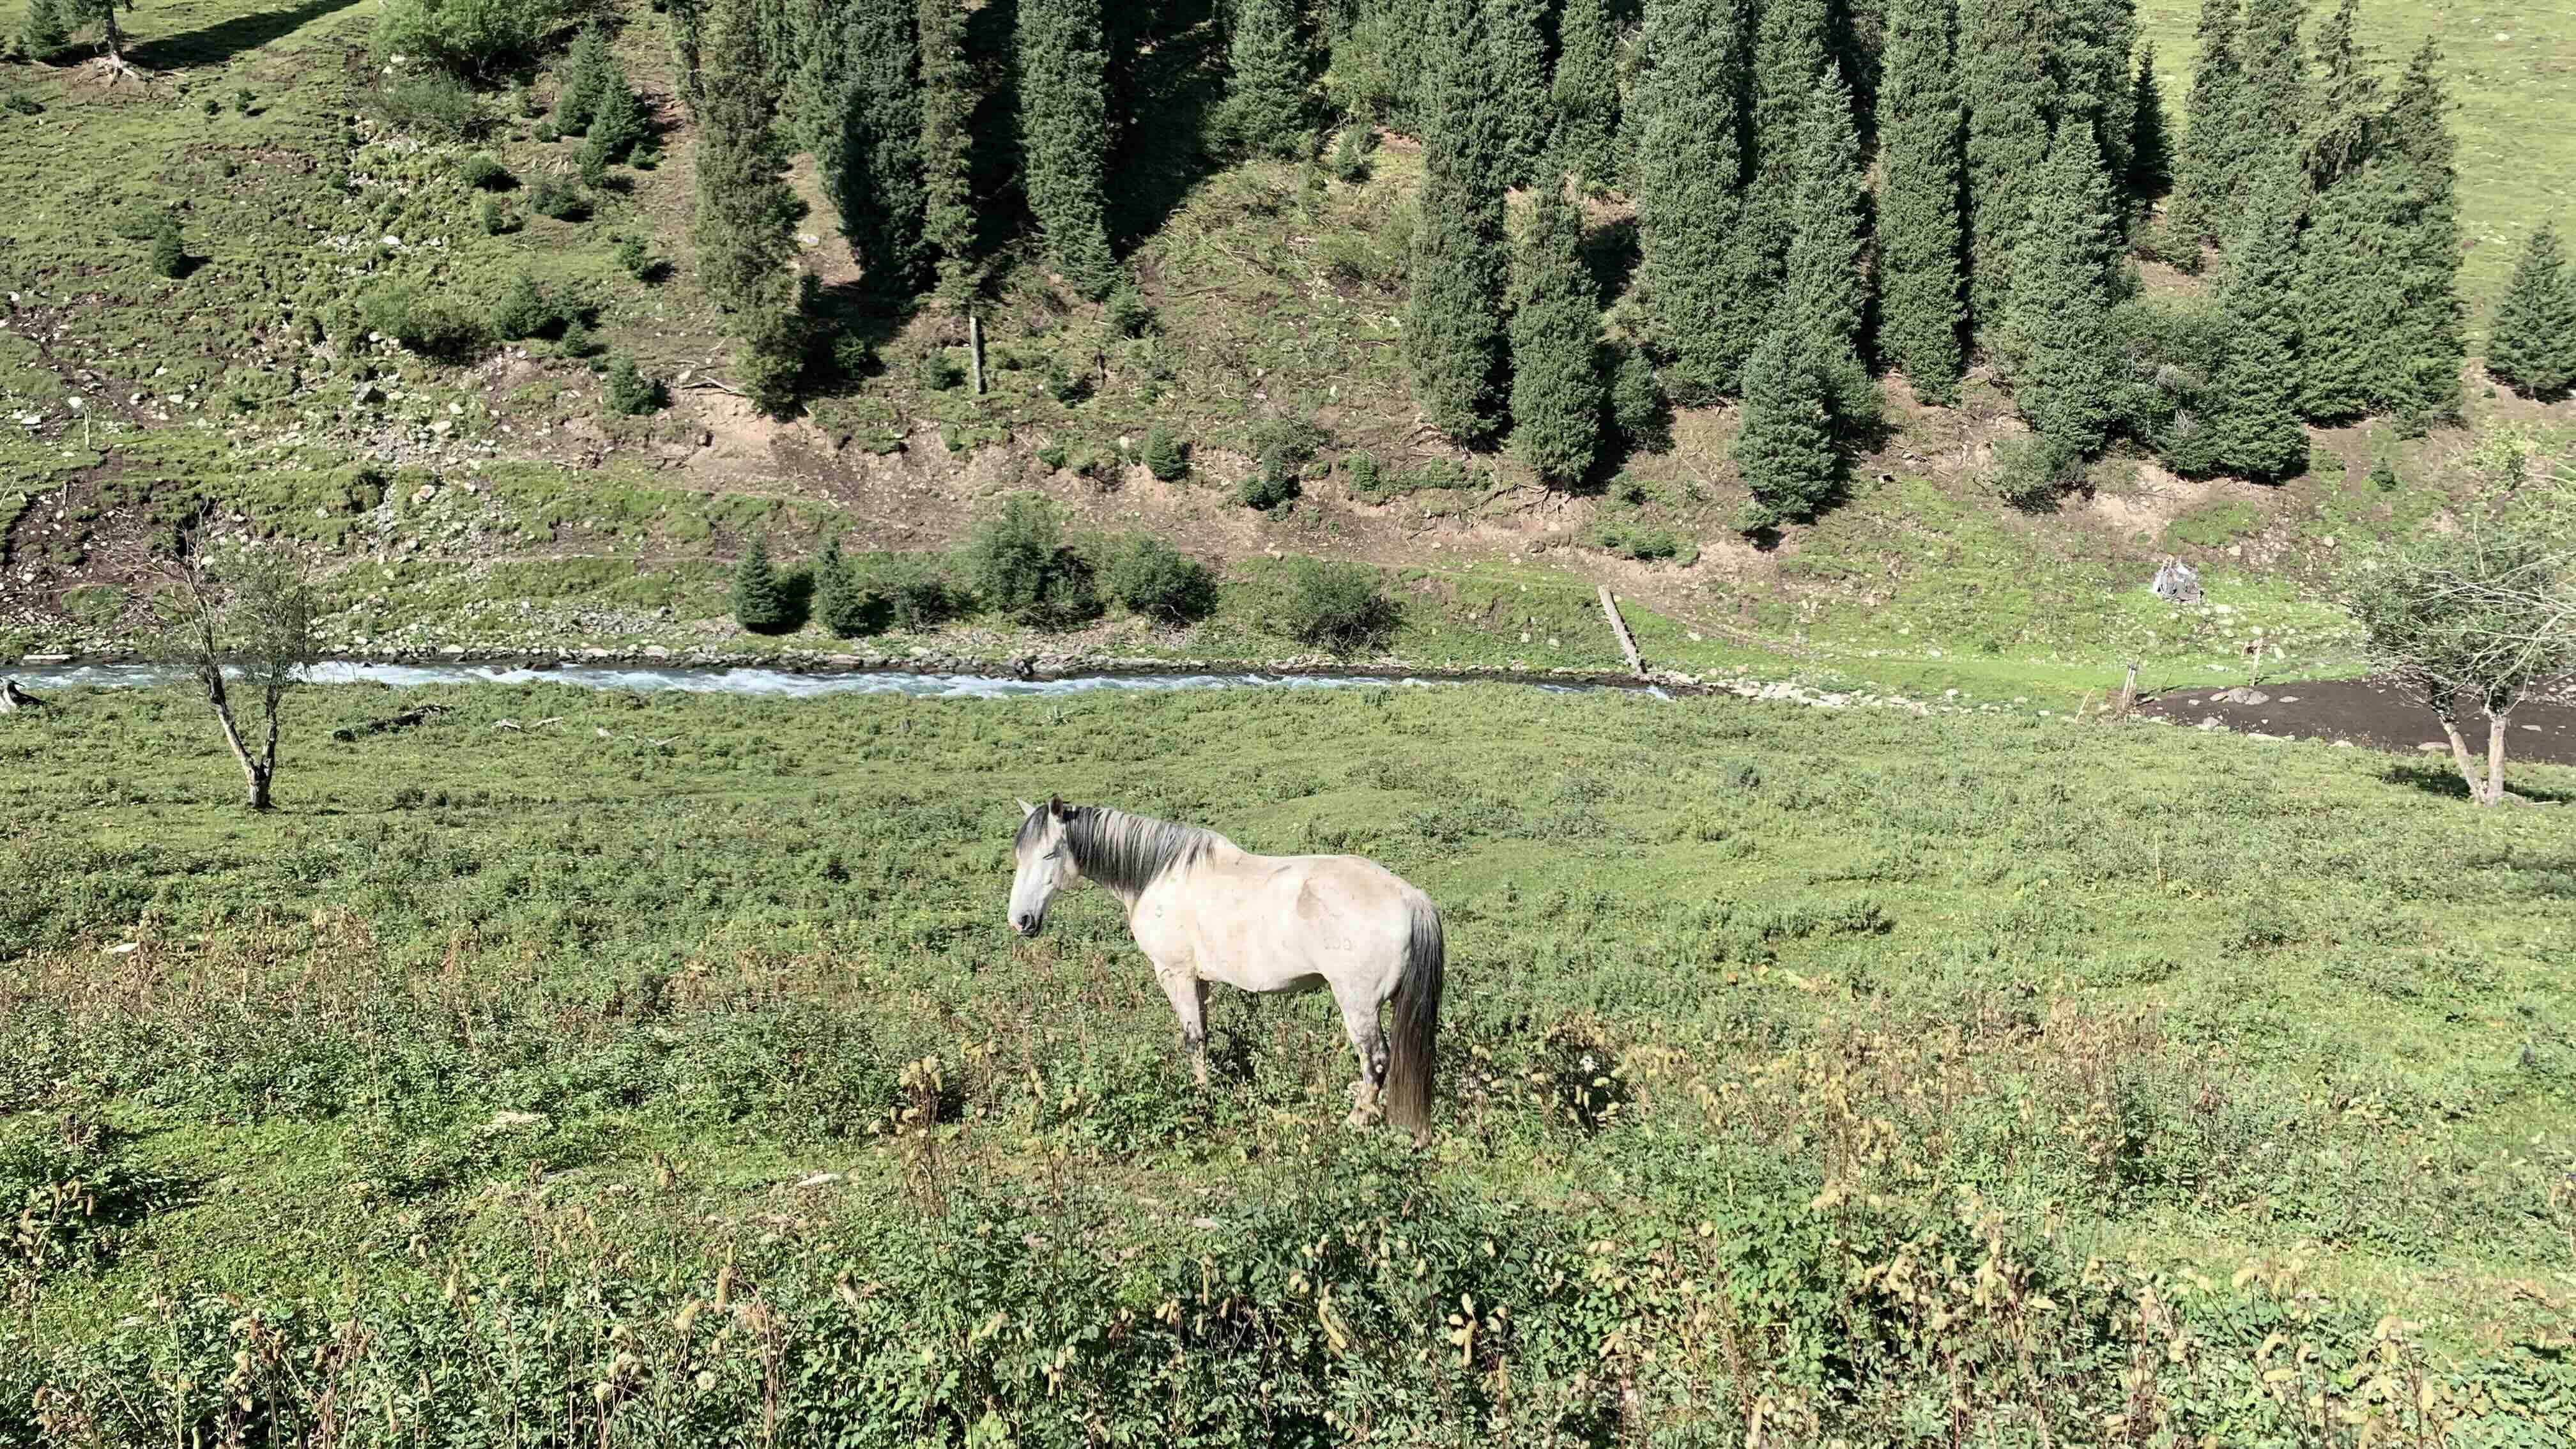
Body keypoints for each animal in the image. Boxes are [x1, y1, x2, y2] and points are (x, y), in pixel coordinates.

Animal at [1005, 797, 1445, 1134]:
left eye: (1049, 854)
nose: (1020, 921)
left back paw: (1356, 1119)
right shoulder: (1200, 981)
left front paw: (1201, 1099)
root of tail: (1412, 899)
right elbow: (1204, 1034)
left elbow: (1193, 1039)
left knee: (1376, 1060)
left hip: (1358, 1005)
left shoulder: (1176, 975)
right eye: (1018, 857)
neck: (1158, 875)